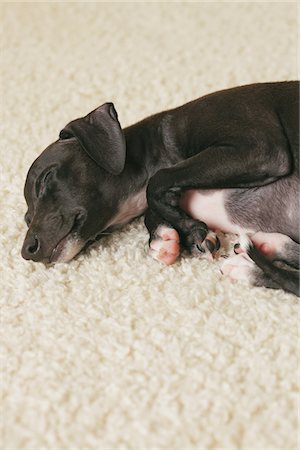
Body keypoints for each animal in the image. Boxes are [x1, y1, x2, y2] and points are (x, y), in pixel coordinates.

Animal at [21, 82, 300, 298]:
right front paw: (169, 237)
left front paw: (190, 229)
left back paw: (248, 268)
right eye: (26, 217)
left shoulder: (260, 147)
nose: (27, 251)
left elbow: (156, 181)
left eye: (46, 178)